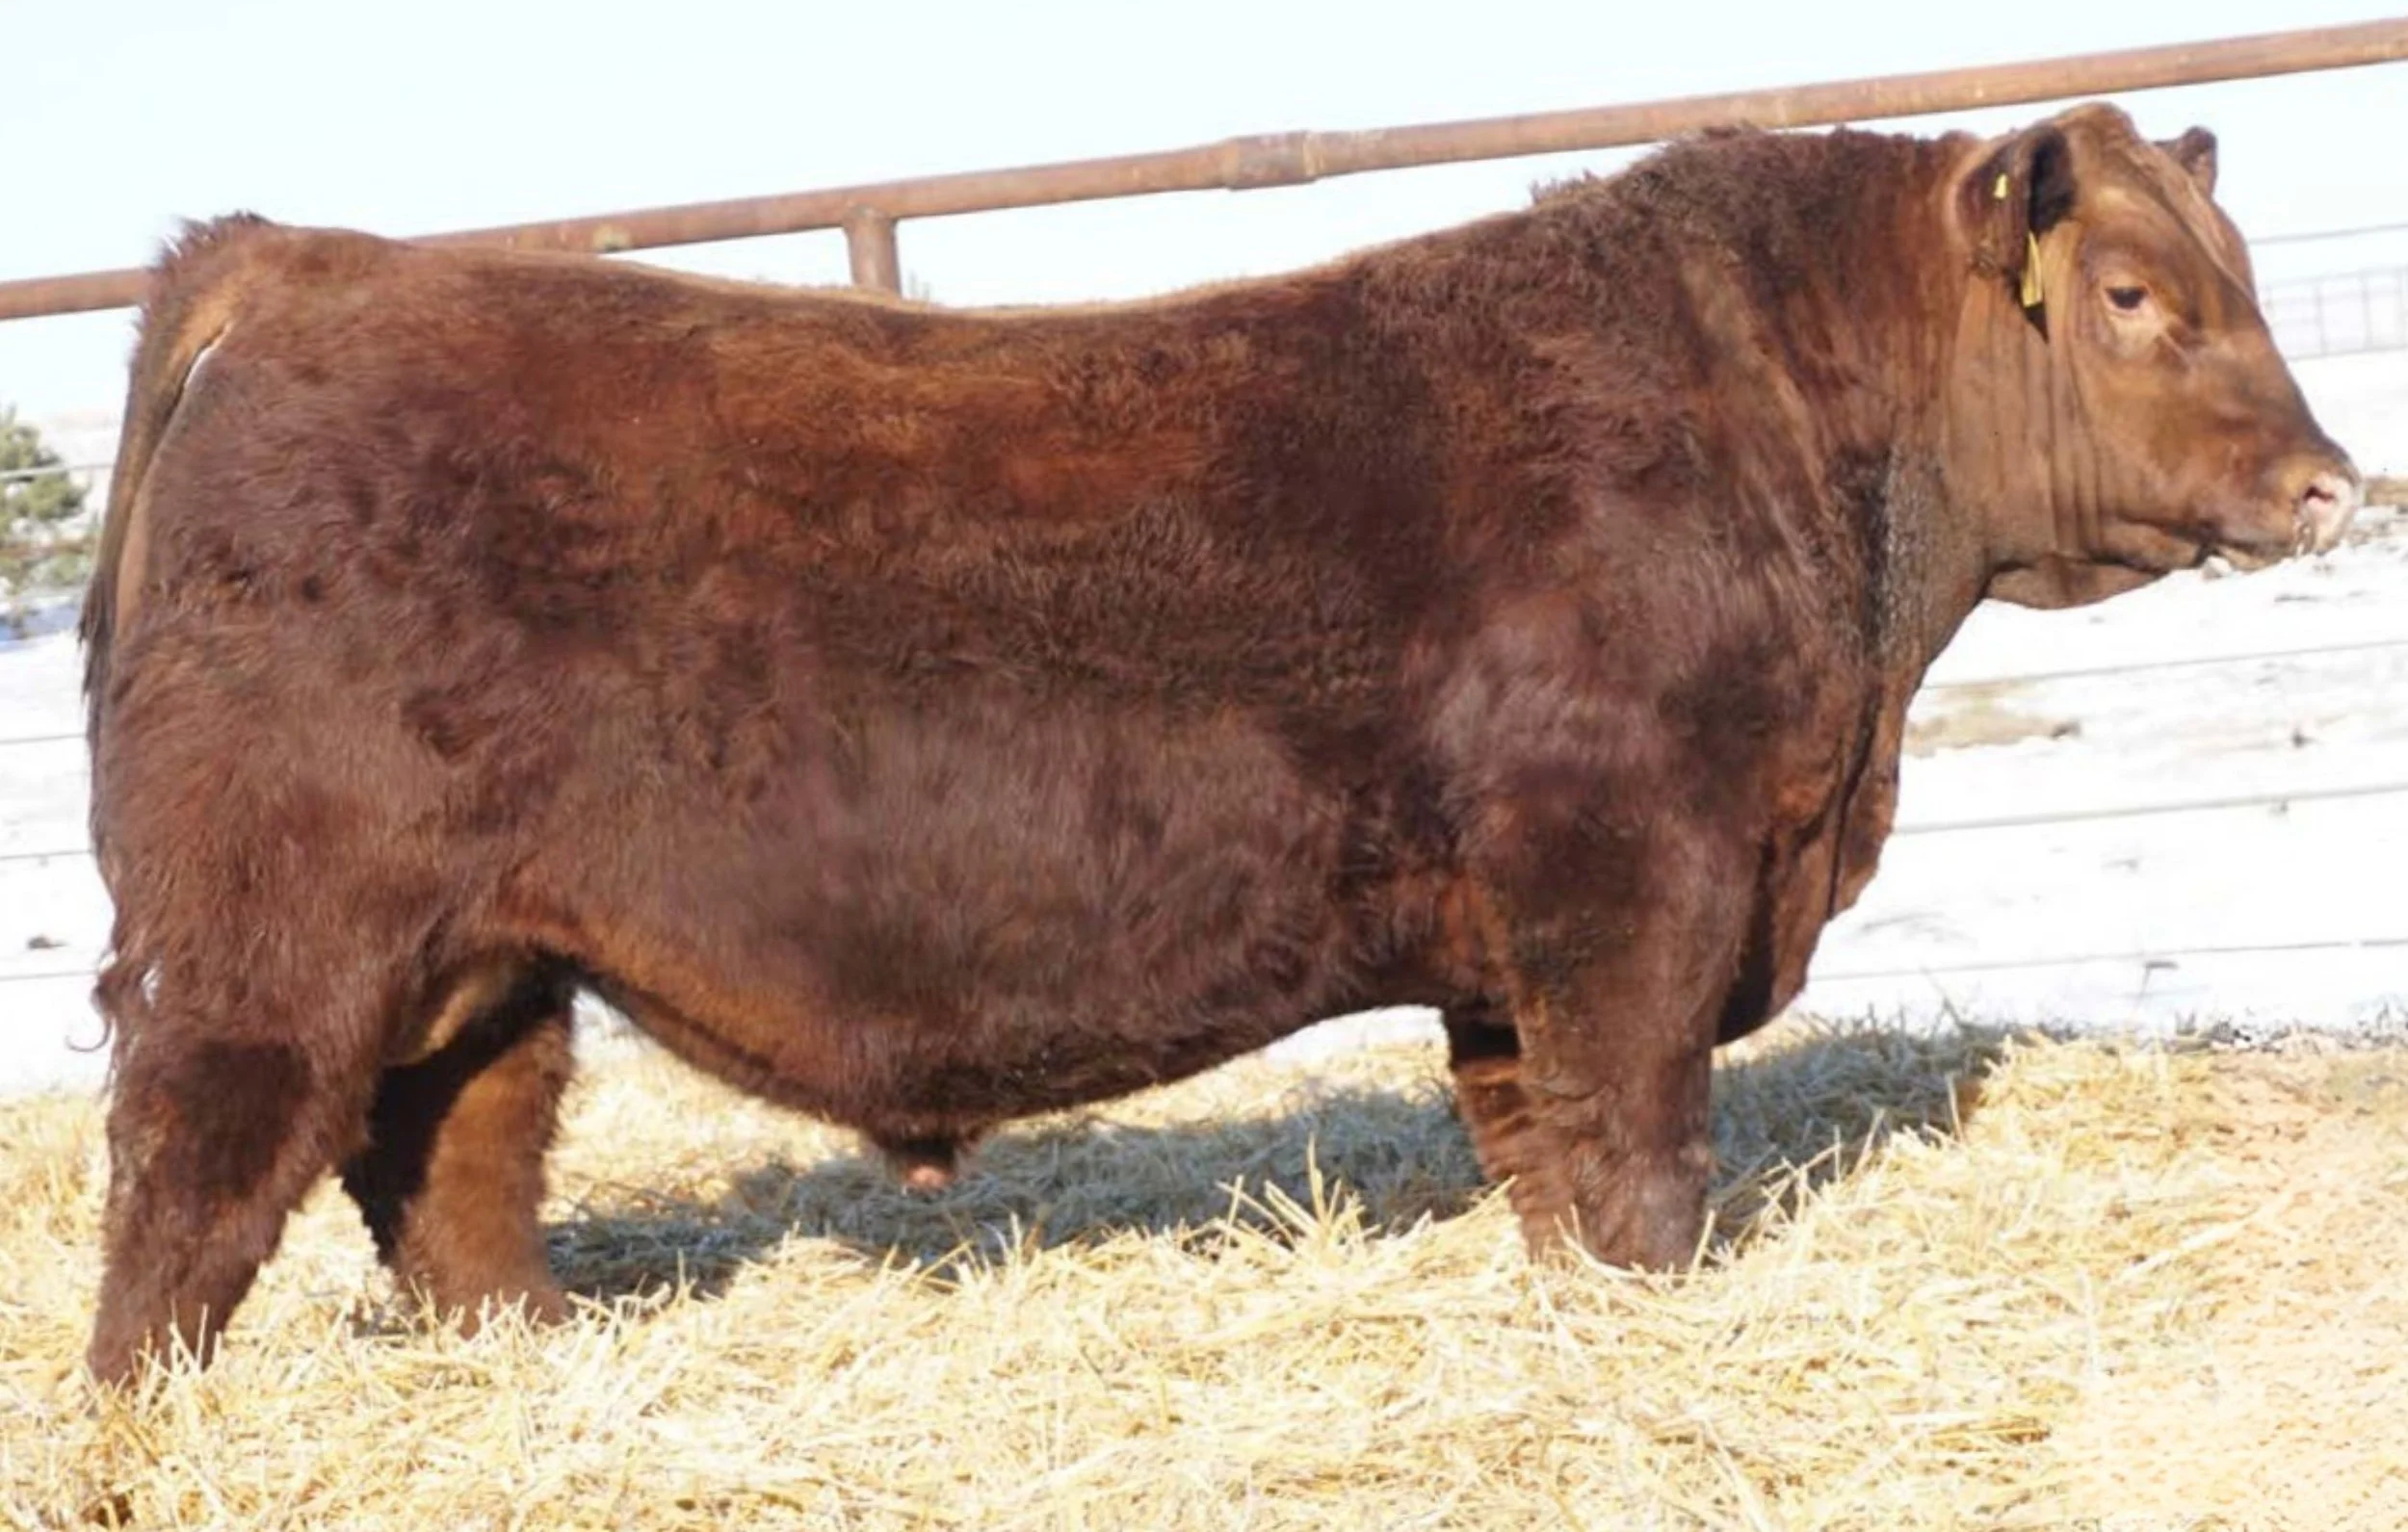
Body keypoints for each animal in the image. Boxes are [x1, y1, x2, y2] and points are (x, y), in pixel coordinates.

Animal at [78, 102, 2358, 1384]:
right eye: (2133, 292)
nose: (2334, 485)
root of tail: (299, 268)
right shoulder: (1630, 880)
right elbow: (1640, 1150)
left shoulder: (1511, 942)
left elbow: (1539, 1151)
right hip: (266, 934)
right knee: (193, 1181)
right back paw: (150, 1422)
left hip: (484, 952)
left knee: (453, 1164)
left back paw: (540, 1363)